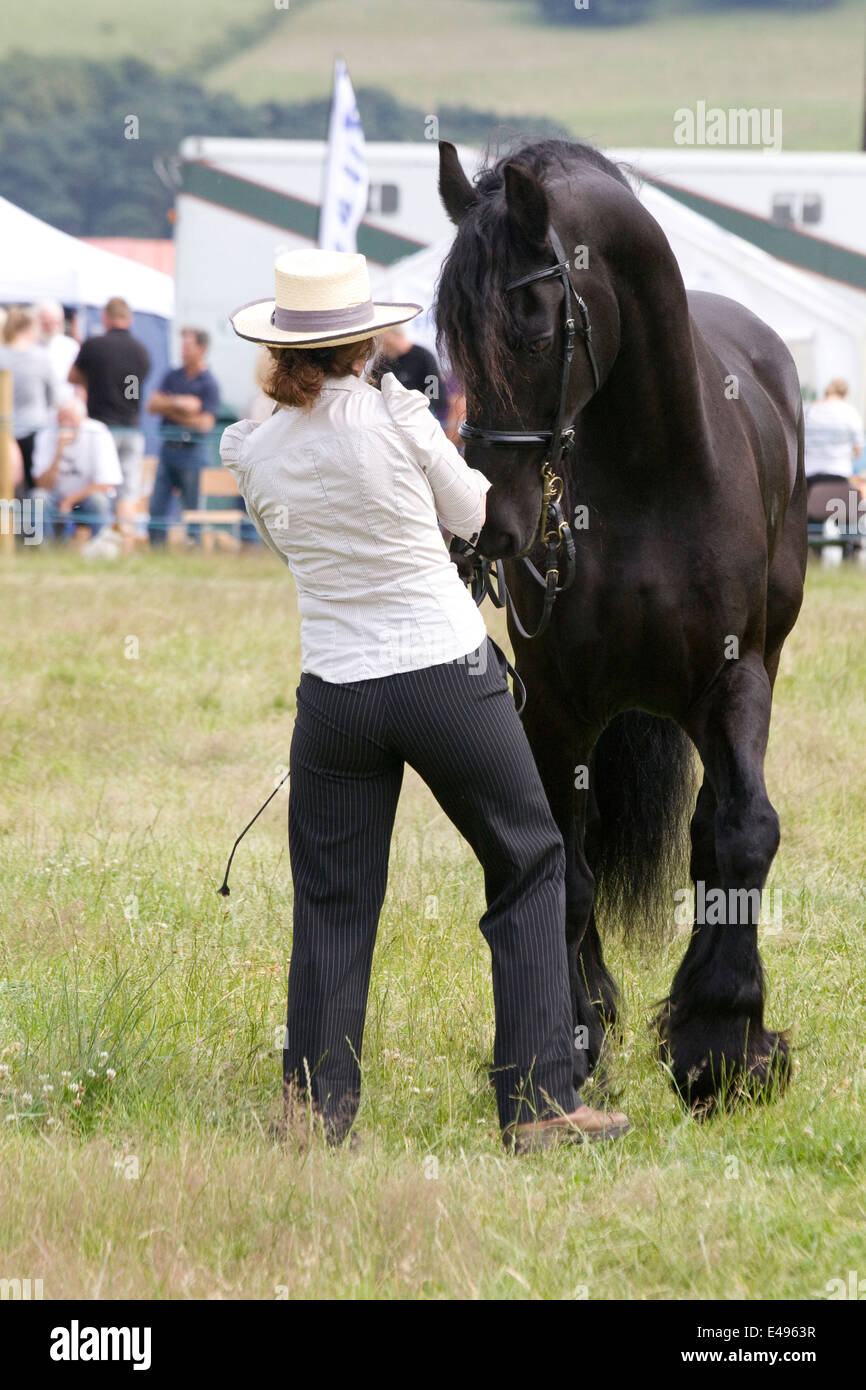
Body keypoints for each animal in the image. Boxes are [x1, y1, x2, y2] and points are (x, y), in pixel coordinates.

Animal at [435, 138, 807, 1112]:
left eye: (533, 328)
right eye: (448, 340)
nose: (489, 522)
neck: (652, 473)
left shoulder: (734, 679)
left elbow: (745, 833)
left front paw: (725, 1044)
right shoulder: (559, 704)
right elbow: (565, 861)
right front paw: (570, 1038)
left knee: (713, 827)